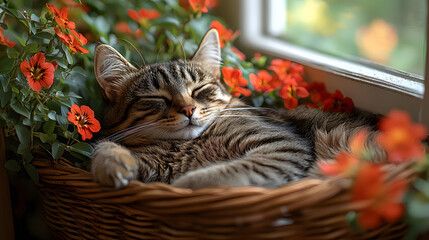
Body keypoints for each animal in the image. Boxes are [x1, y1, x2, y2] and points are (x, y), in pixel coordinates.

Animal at [90, 29, 382, 189]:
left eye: (199, 90)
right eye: (157, 97)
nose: (189, 110)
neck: (188, 146)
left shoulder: (281, 146)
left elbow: (223, 173)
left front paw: (186, 187)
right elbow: (103, 146)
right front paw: (112, 163)